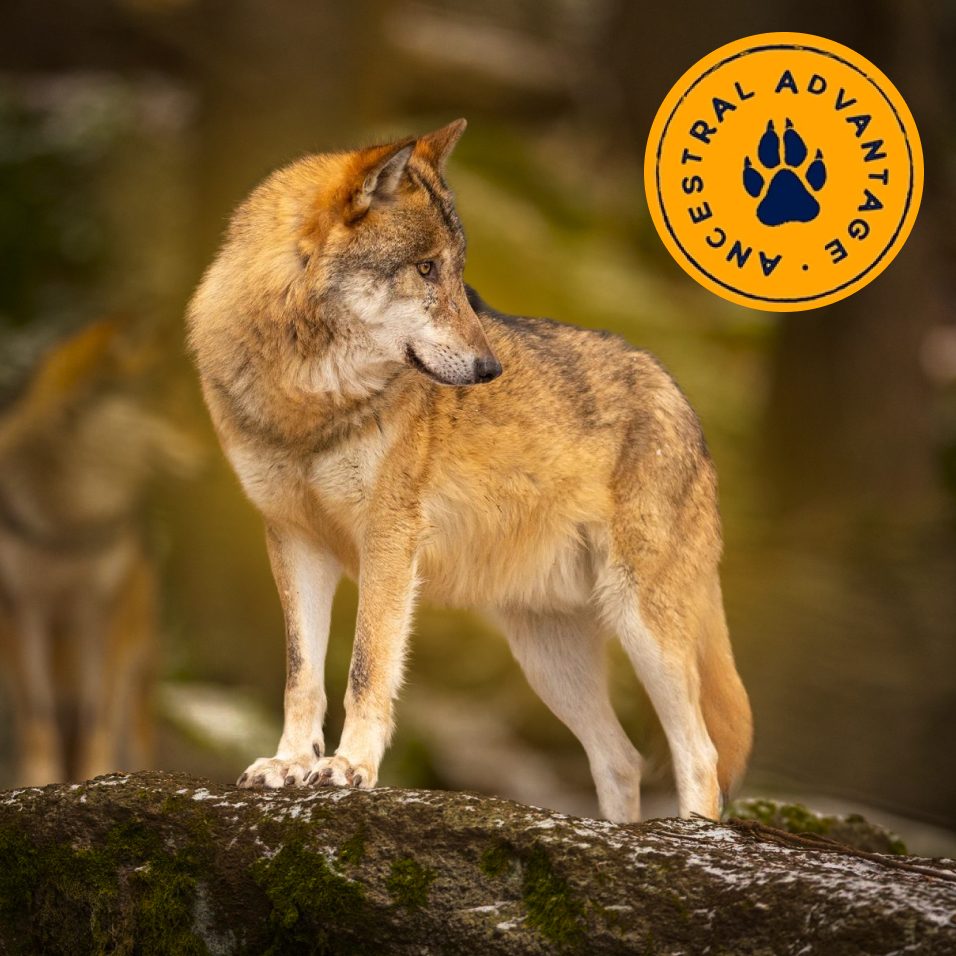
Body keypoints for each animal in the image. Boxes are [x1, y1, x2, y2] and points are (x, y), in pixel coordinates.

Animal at [187, 119, 752, 820]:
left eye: (458, 274)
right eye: (426, 269)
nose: (490, 370)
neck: (306, 400)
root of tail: (681, 400)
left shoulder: (389, 540)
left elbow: (366, 667)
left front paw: (348, 768)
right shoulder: (293, 540)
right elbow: (301, 675)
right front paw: (289, 764)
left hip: (644, 626)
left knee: (698, 755)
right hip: (547, 655)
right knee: (620, 757)